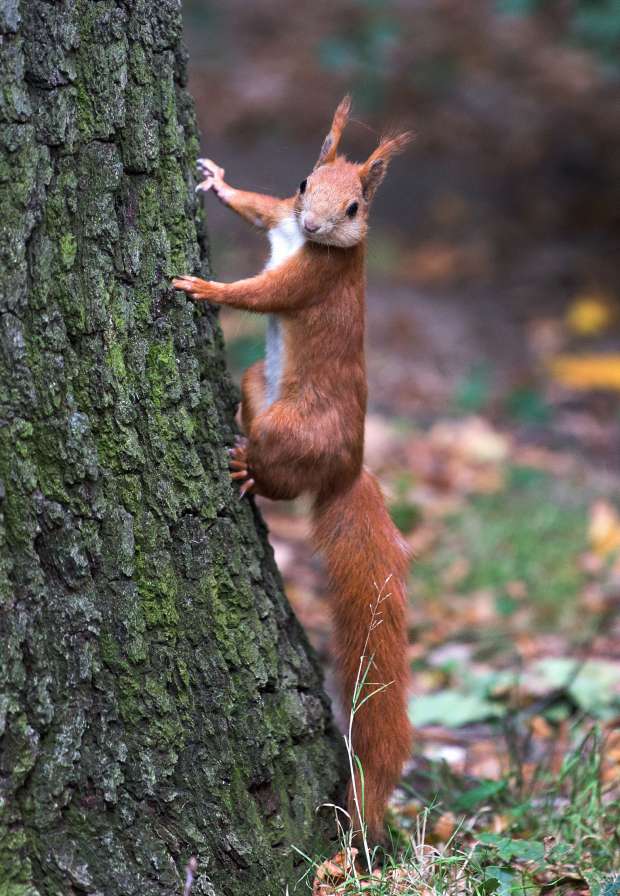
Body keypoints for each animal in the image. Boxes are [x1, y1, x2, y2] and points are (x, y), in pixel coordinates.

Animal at [174, 100, 414, 848]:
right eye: (306, 181)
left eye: (357, 207)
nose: (313, 228)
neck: (309, 243)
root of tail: (350, 466)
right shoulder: (280, 217)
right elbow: (256, 208)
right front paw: (217, 180)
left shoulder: (313, 277)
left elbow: (263, 293)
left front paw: (206, 286)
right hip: (259, 383)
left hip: (295, 430)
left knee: (283, 477)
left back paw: (248, 472)